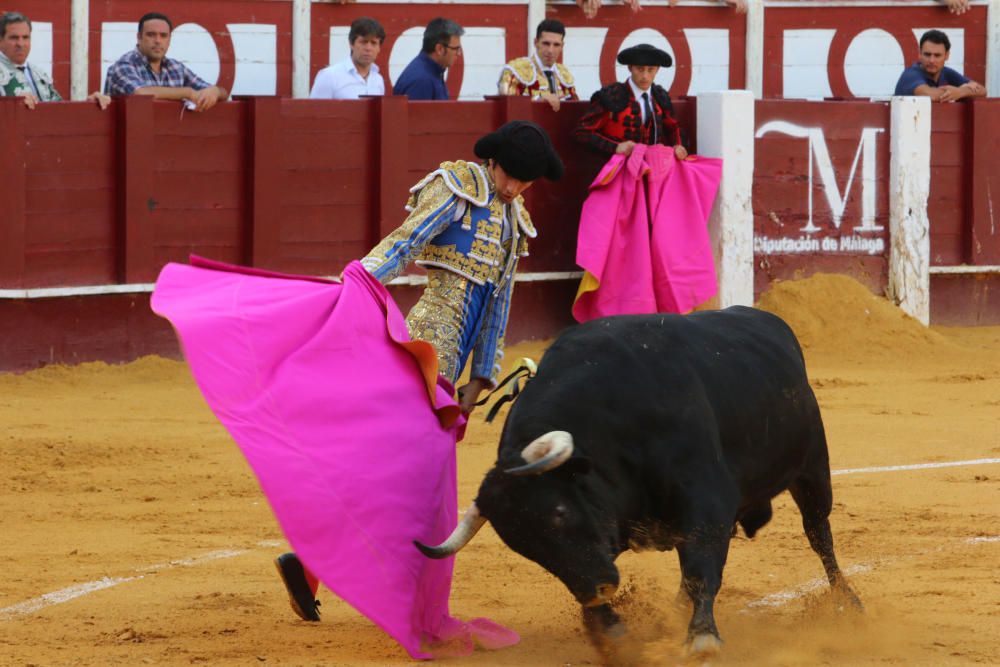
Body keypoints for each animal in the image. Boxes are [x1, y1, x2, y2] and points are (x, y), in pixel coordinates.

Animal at [414, 308, 860, 656]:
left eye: (559, 512)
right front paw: (613, 634)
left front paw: (702, 639)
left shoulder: (706, 499)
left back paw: (847, 603)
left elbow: (702, 568)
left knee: (819, 535)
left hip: (812, 472)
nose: (598, 589)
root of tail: (771, 322)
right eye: (524, 546)